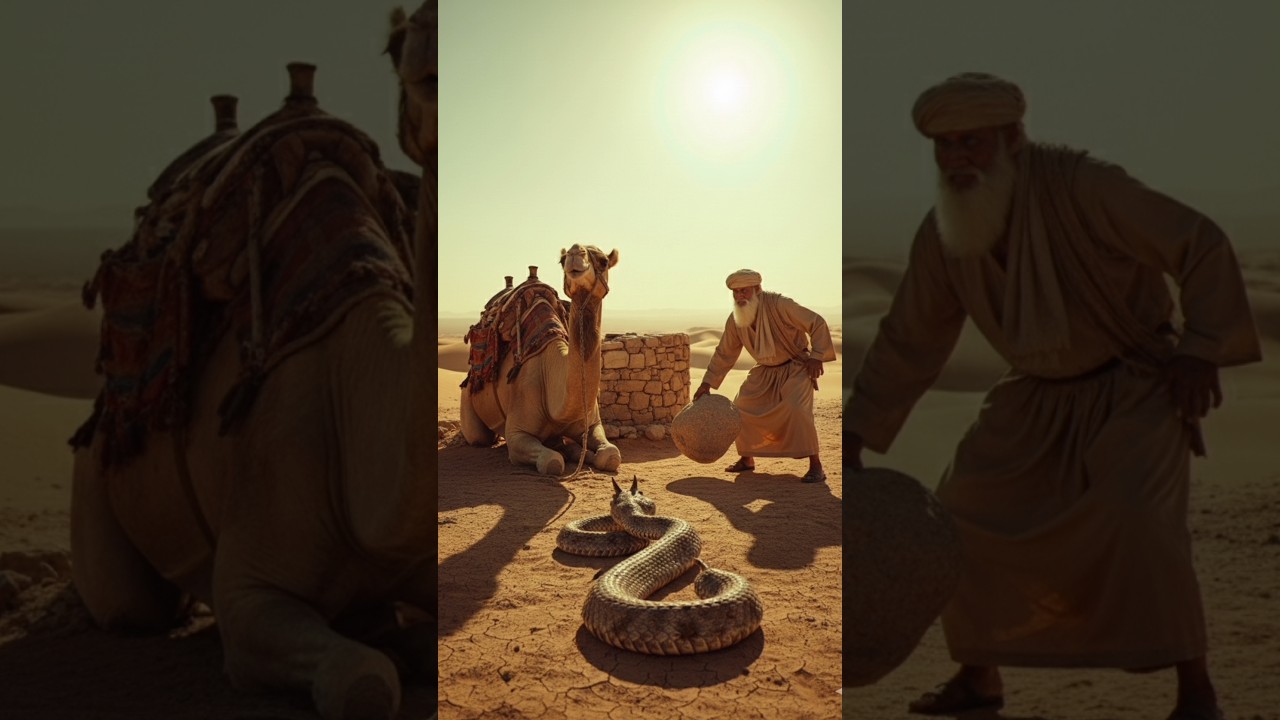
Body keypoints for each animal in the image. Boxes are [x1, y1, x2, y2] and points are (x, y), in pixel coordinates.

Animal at [68, 8, 438, 720]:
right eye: (394, 44)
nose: (431, 48)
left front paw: (403, 635)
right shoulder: (249, 594)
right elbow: (361, 682)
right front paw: (390, 653)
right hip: (94, 477)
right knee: (128, 606)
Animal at [459, 244, 623, 476]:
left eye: (603, 261)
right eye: (562, 260)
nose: (575, 252)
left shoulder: (592, 424)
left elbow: (611, 455)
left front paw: (585, 453)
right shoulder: (517, 434)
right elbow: (551, 461)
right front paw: (565, 456)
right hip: (468, 402)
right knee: (478, 437)